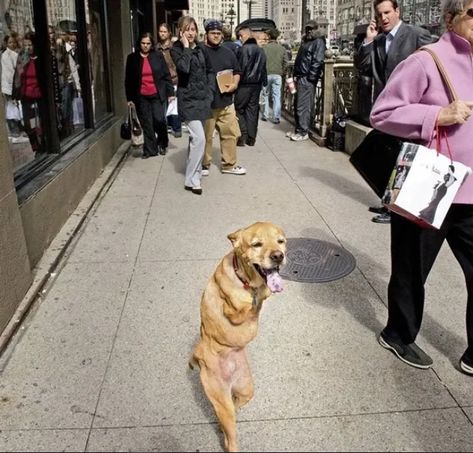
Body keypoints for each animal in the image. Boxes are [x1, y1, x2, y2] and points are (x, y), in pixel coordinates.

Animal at [187, 221, 284, 450]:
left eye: (281, 241)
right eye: (257, 244)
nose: (279, 256)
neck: (248, 282)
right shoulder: (234, 308)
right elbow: (240, 308)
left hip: (246, 388)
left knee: (235, 405)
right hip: (221, 398)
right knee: (230, 435)